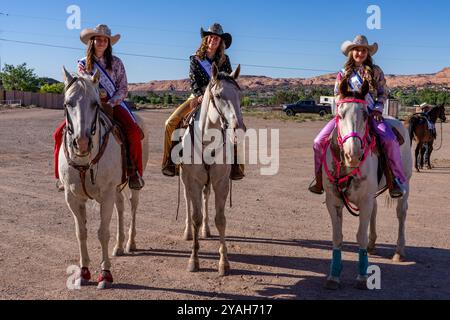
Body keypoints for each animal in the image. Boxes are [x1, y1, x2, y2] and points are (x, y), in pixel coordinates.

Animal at [57, 68, 149, 290]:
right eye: (68, 103)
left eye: (95, 104)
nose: (81, 143)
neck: (85, 161)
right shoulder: (72, 197)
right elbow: (81, 232)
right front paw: (83, 272)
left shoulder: (105, 195)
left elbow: (102, 233)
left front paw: (105, 274)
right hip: (115, 188)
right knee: (121, 206)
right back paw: (119, 245)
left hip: (132, 184)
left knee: (133, 205)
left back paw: (130, 243)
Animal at [179, 63, 243, 276]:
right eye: (219, 95)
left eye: (239, 94)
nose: (238, 125)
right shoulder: (194, 181)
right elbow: (196, 217)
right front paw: (193, 260)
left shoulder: (220, 182)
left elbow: (220, 219)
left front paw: (224, 262)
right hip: (184, 178)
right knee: (188, 201)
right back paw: (188, 232)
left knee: (206, 197)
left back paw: (206, 231)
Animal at [322, 79, 414, 290]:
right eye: (340, 114)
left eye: (365, 114)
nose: (353, 154)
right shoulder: (333, 201)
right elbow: (337, 237)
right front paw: (334, 276)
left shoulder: (364, 201)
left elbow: (360, 237)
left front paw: (363, 277)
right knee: (376, 210)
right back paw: (373, 245)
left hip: (405, 182)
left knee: (401, 213)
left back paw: (399, 251)